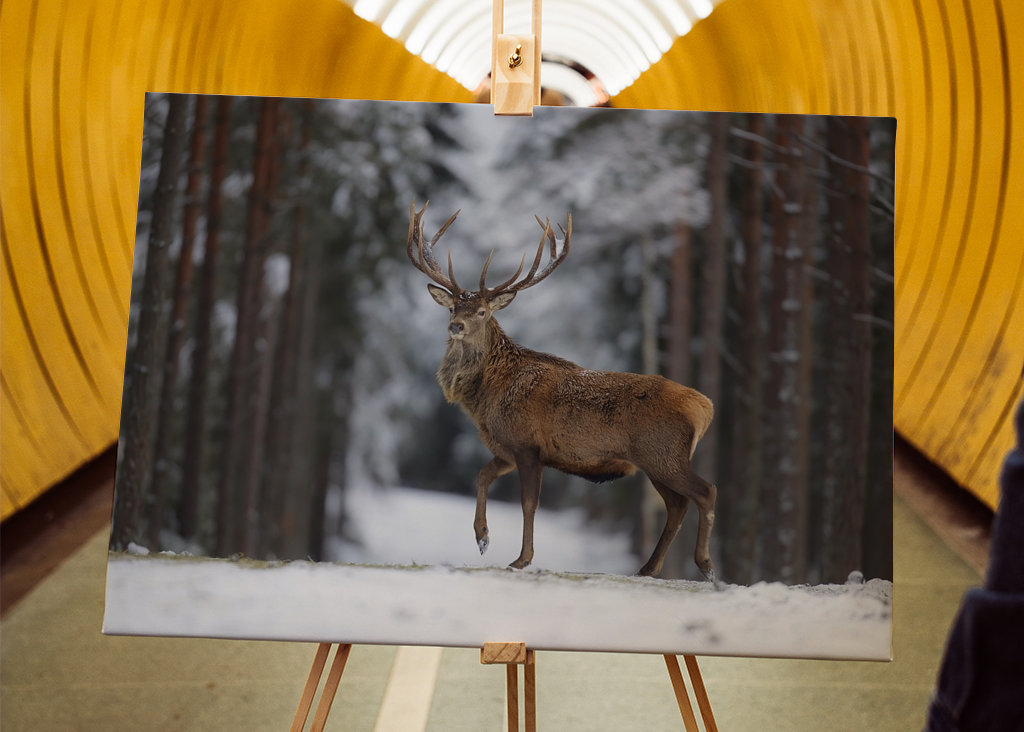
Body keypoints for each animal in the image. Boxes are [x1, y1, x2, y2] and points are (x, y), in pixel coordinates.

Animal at [406, 202, 718, 580]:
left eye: (481, 311)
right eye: (453, 307)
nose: (456, 326)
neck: (487, 396)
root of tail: (704, 407)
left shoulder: (528, 445)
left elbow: (529, 503)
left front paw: (522, 558)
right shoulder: (507, 448)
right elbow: (481, 476)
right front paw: (482, 538)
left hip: (663, 453)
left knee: (705, 491)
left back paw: (705, 564)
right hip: (656, 460)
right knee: (677, 504)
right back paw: (648, 567)